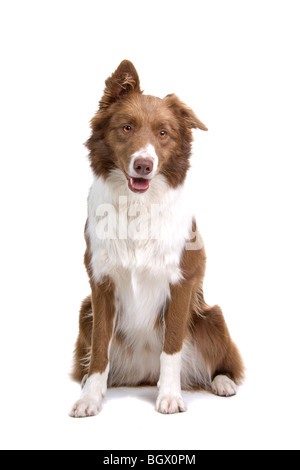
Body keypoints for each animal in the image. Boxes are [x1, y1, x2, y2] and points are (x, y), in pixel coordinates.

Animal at [70, 59, 244, 418]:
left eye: (163, 133)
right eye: (126, 128)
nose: (143, 165)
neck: (138, 205)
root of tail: (143, 375)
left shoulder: (181, 281)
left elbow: (172, 346)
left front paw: (170, 396)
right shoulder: (101, 284)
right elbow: (99, 349)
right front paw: (90, 398)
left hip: (213, 316)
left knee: (225, 363)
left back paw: (222, 383)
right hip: (83, 311)